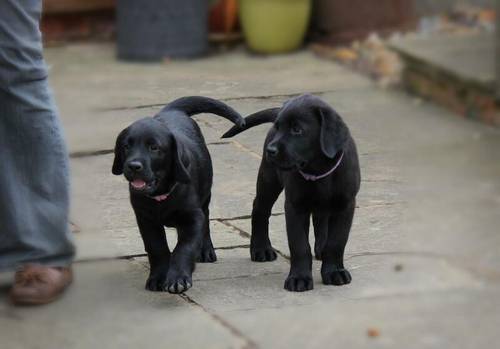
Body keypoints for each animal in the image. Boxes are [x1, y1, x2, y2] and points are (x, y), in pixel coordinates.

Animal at [114, 96, 246, 292]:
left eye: (154, 147)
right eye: (125, 146)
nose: (133, 166)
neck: (161, 195)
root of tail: (172, 110)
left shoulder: (192, 217)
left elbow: (184, 247)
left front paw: (178, 278)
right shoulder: (145, 219)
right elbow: (156, 247)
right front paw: (158, 277)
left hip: (205, 195)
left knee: (206, 220)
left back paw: (206, 250)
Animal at [223, 93, 360, 290]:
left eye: (297, 129)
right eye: (278, 127)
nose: (270, 150)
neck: (318, 171)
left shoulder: (345, 205)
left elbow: (336, 242)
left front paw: (334, 271)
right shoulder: (295, 206)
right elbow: (299, 245)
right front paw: (299, 278)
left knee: (320, 218)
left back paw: (320, 248)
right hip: (269, 178)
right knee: (260, 209)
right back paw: (261, 248)